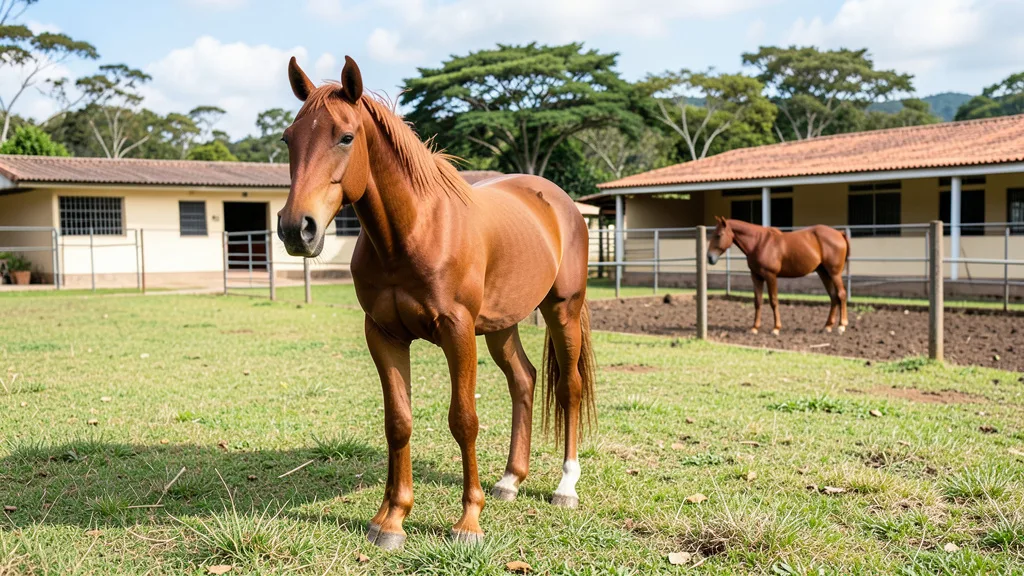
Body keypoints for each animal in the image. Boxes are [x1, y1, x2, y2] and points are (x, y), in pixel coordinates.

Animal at [276, 56, 596, 550]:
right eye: (289, 139)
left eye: (346, 136)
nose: (297, 229)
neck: (413, 230)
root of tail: (561, 203)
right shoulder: (383, 334)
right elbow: (398, 422)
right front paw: (391, 519)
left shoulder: (456, 330)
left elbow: (463, 420)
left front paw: (468, 522)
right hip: (502, 325)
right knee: (524, 380)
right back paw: (510, 480)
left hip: (563, 310)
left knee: (569, 388)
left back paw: (565, 486)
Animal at [706, 217, 850, 335]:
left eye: (719, 235)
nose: (709, 258)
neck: (759, 243)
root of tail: (839, 233)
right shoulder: (756, 276)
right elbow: (758, 301)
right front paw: (754, 328)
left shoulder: (771, 276)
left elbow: (774, 301)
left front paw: (776, 328)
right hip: (823, 273)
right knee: (833, 296)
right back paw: (827, 326)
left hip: (834, 273)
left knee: (841, 294)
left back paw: (842, 326)